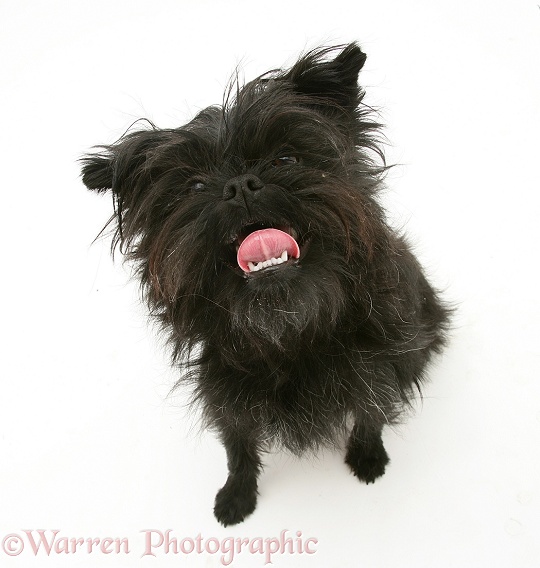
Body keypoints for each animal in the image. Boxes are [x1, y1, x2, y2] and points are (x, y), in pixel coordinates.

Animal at [81, 42, 452, 524]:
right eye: (194, 186)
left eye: (285, 159)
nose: (240, 185)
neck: (290, 328)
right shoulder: (226, 398)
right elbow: (238, 448)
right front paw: (238, 494)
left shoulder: (380, 364)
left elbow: (371, 414)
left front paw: (368, 457)